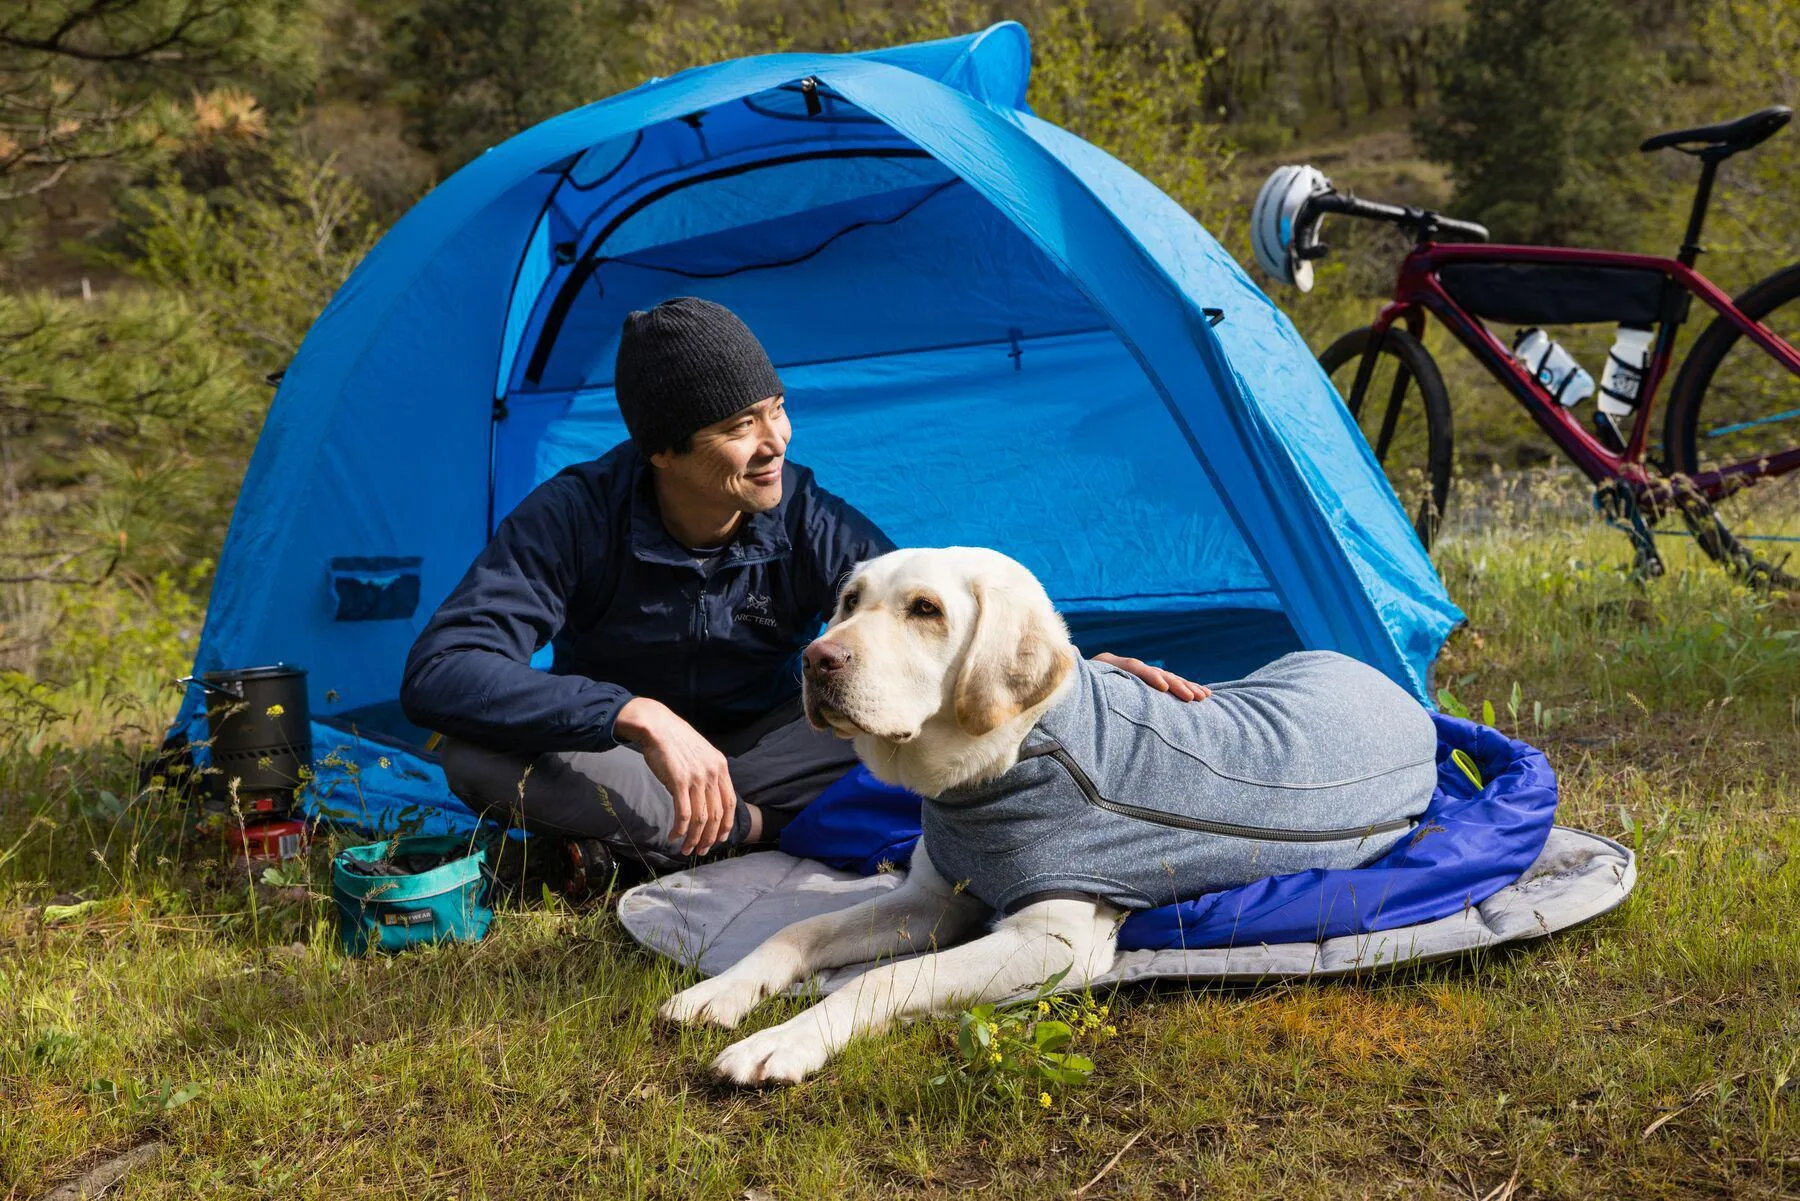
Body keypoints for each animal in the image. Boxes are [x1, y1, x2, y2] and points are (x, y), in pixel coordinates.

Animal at [662, 550, 1432, 1087]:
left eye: (925, 609)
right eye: (850, 600)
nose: (817, 659)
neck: (1004, 761)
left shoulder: (1052, 940)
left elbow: (878, 978)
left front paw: (781, 1041)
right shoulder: (932, 900)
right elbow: (799, 929)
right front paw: (716, 994)